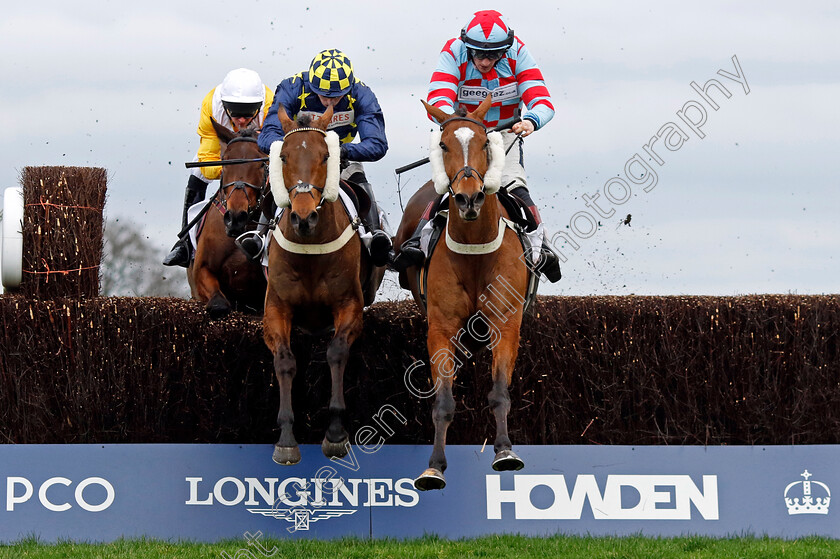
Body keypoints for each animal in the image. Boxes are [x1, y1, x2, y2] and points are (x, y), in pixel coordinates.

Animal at [264, 105, 386, 464]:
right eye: (284, 157)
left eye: (326, 155)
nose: (304, 218)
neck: (310, 248)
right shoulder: (276, 308)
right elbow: (285, 361)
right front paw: (286, 438)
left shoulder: (349, 305)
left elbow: (336, 352)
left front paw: (335, 433)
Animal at [392, 95, 524, 490]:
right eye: (443, 145)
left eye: (483, 144)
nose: (468, 199)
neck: (475, 248)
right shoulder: (441, 326)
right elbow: (443, 401)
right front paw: (434, 467)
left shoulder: (505, 322)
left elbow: (499, 393)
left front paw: (504, 450)